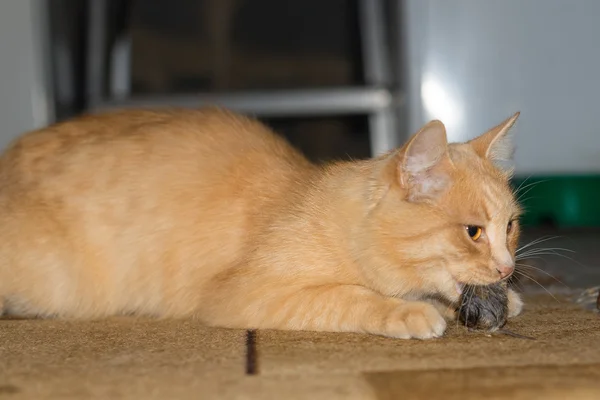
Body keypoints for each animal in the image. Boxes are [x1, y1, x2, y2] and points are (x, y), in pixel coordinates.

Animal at [0, 108, 524, 340]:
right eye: (473, 232)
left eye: (510, 227)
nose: (506, 269)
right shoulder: (241, 293)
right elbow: (349, 296)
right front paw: (410, 311)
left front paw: (509, 298)